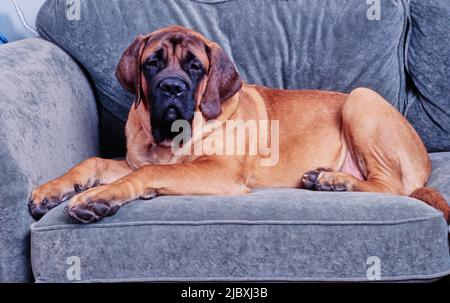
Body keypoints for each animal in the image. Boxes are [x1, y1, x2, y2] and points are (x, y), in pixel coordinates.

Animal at [29, 25, 450, 223]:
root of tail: (425, 163)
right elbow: (96, 162)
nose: (171, 87)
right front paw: (52, 190)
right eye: (152, 63)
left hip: (361, 98)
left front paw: (97, 198)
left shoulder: (220, 170)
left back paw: (335, 181)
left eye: (195, 67)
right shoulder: (132, 160)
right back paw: (327, 179)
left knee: (392, 188)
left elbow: (146, 173)